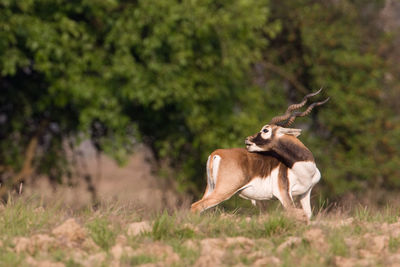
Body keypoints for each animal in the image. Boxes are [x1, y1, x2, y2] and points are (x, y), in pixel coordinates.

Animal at [191, 89, 328, 219]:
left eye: (265, 130)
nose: (248, 140)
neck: (302, 168)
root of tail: (217, 152)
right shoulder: (284, 195)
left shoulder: (305, 193)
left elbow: (308, 215)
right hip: (224, 190)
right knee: (196, 206)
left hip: (211, 188)